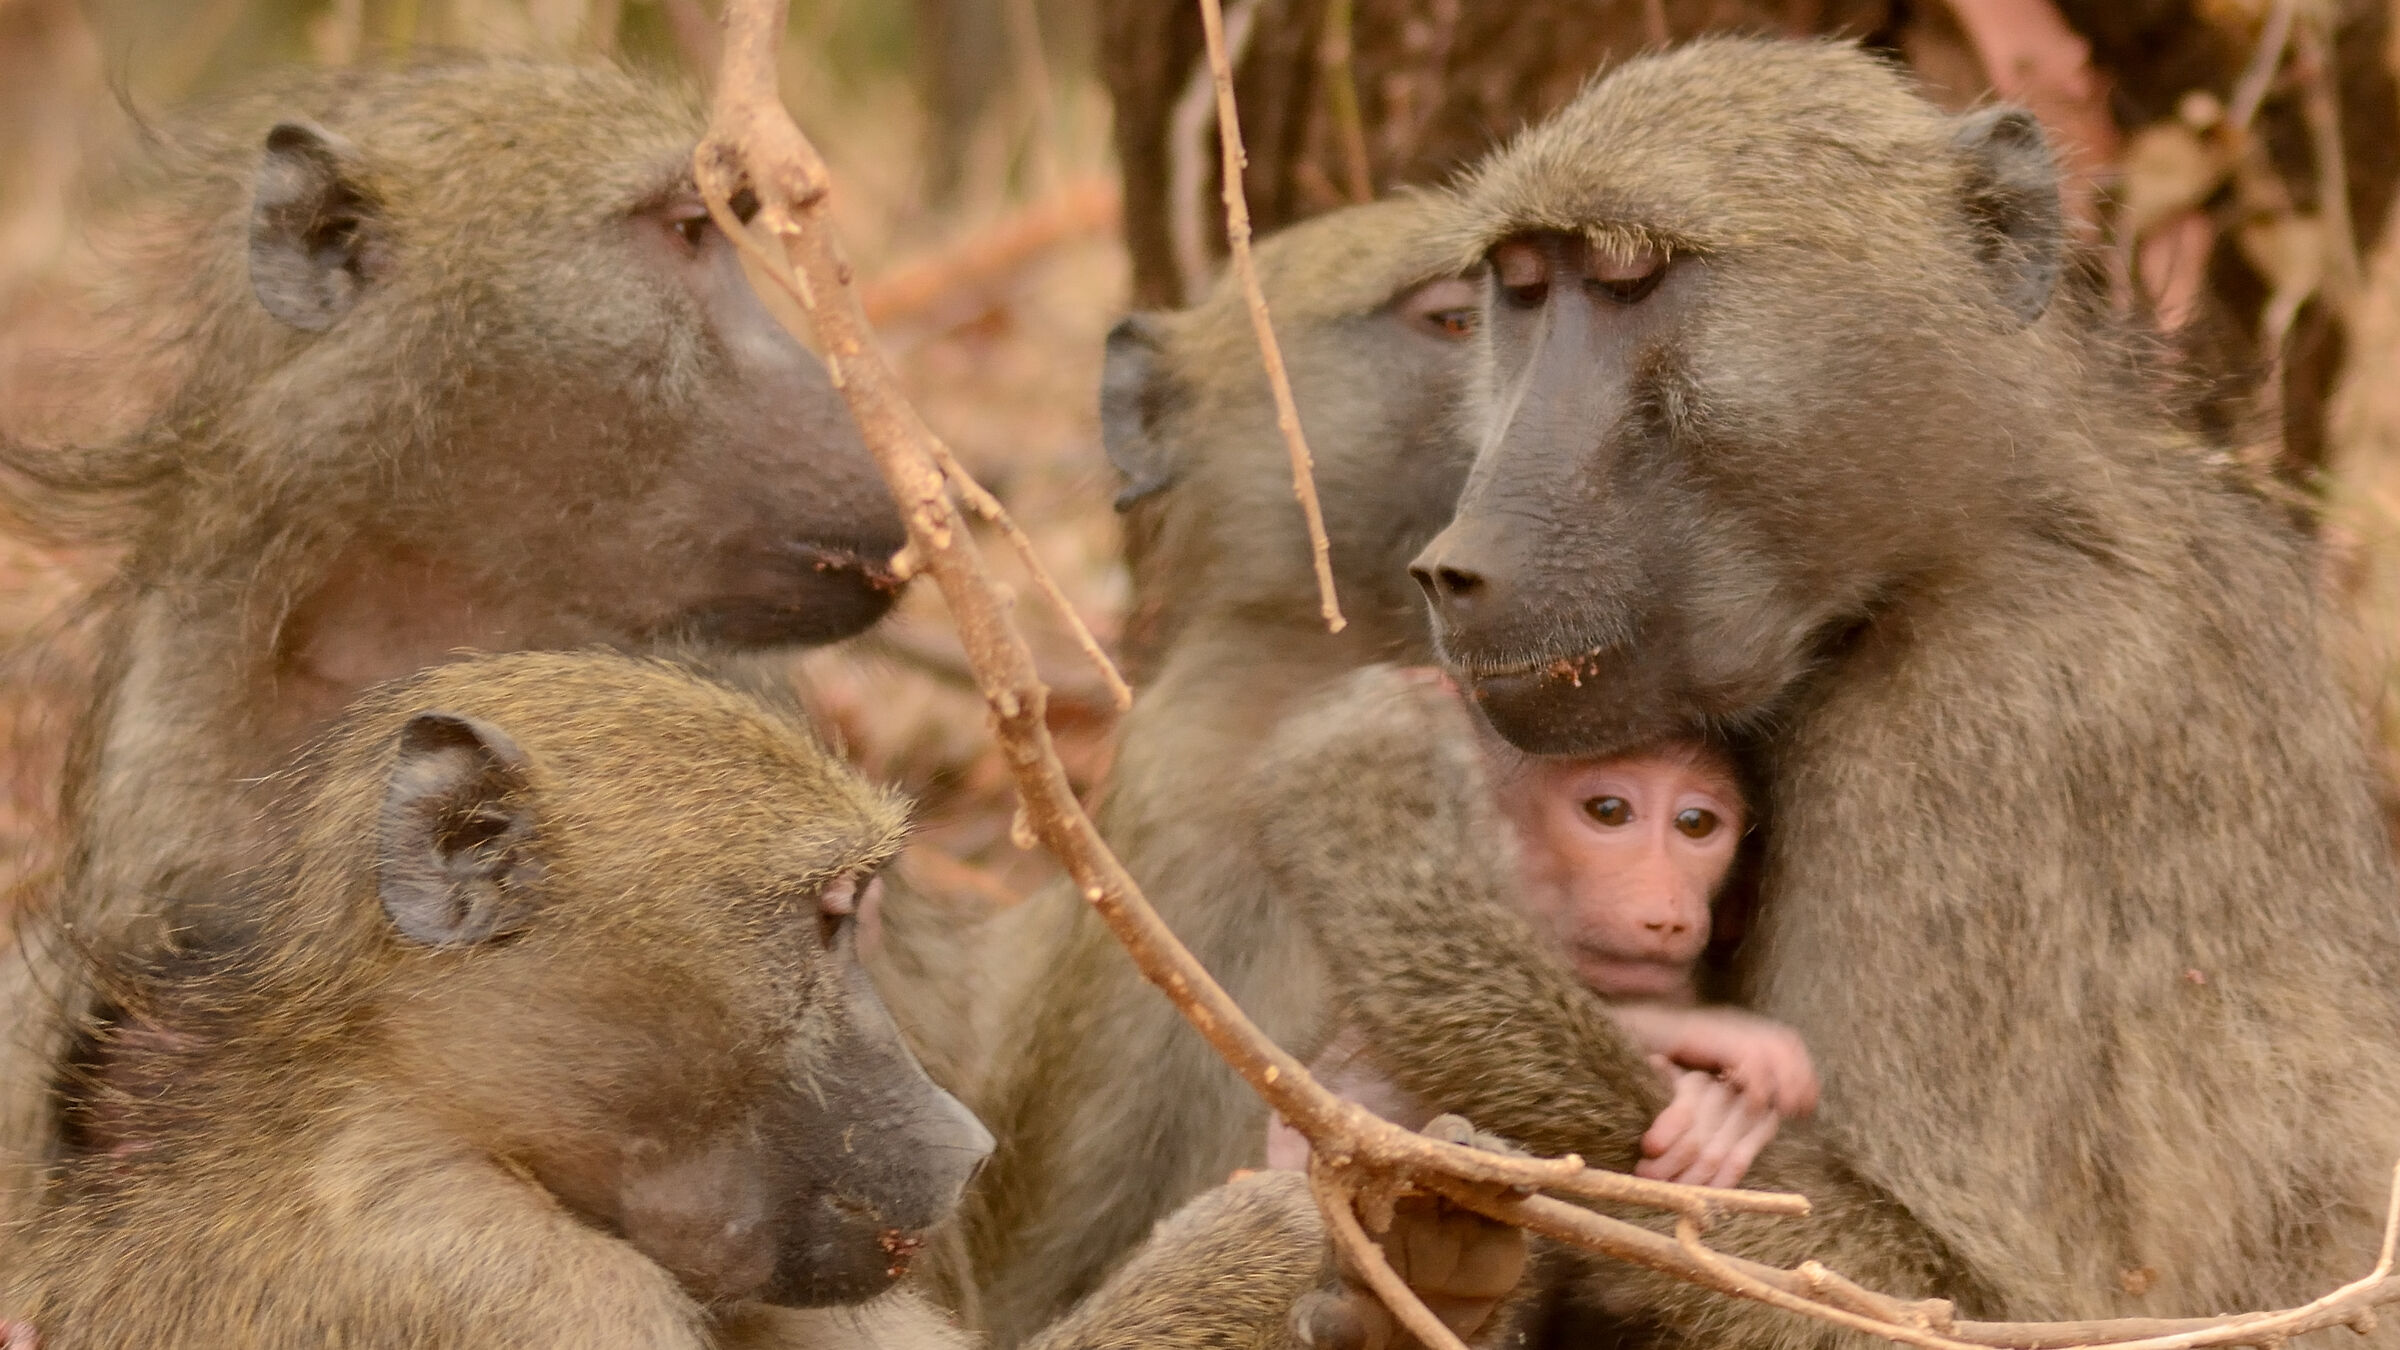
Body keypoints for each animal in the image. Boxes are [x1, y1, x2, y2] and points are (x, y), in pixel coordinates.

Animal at [1243, 37, 2400, 1346]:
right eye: (1525, 295)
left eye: (1632, 282)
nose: (1456, 567)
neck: (1956, 543)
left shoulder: (1986, 718)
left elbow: (1980, 1300)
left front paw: (1369, 824)